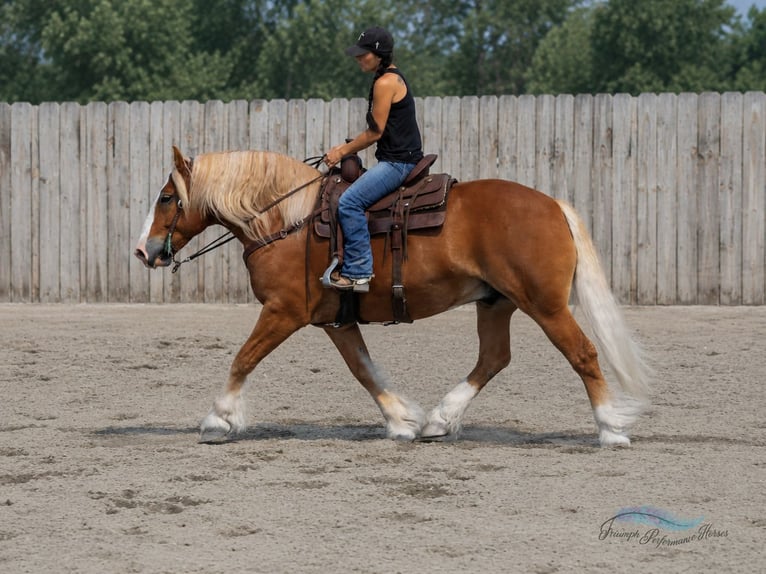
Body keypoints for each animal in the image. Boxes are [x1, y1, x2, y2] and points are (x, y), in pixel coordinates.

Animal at [134, 146, 650, 447]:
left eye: (166, 197)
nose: (144, 250)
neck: (286, 220)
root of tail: (552, 205)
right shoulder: (335, 320)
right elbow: (364, 370)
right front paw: (401, 419)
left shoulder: (283, 312)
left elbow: (242, 359)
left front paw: (218, 420)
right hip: (495, 302)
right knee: (493, 358)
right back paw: (440, 420)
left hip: (545, 305)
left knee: (582, 353)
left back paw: (610, 428)